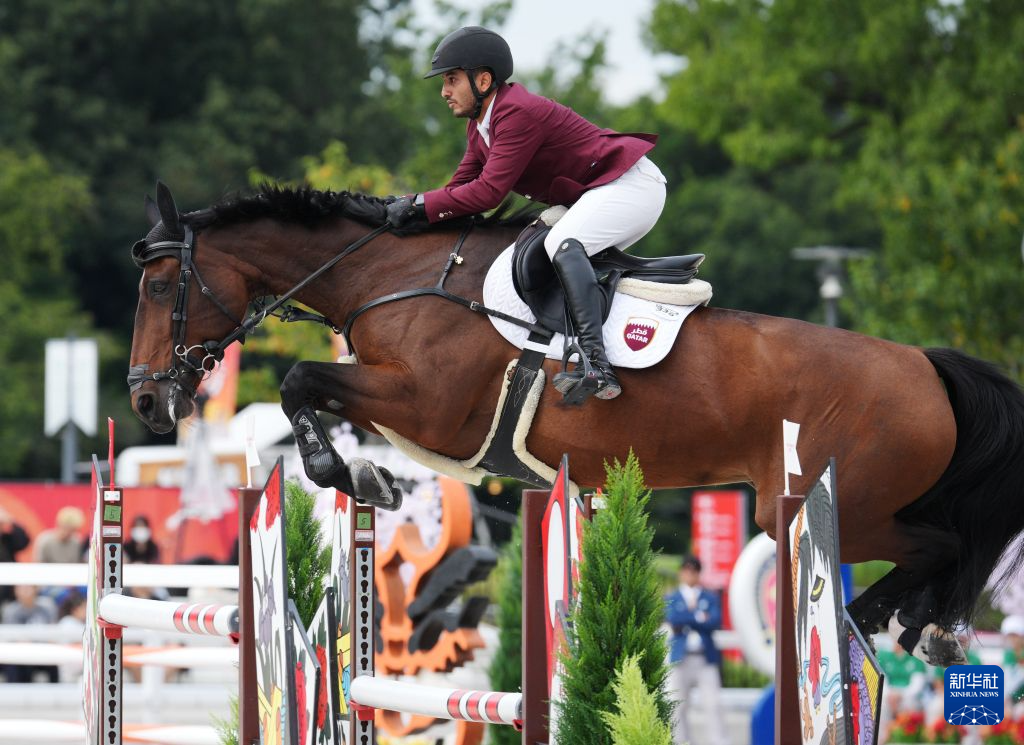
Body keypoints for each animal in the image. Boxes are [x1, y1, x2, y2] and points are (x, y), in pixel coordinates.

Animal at [128, 182, 1024, 666]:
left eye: (160, 284)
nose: (144, 400)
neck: (395, 275)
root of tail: (926, 365)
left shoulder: (427, 405)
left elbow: (302, 381)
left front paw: (356, 475)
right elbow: (313, 391)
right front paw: (365, 475)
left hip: (824, 501)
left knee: (945, 543)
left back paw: (898, 624)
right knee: (946, 545)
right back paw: (912, 625)